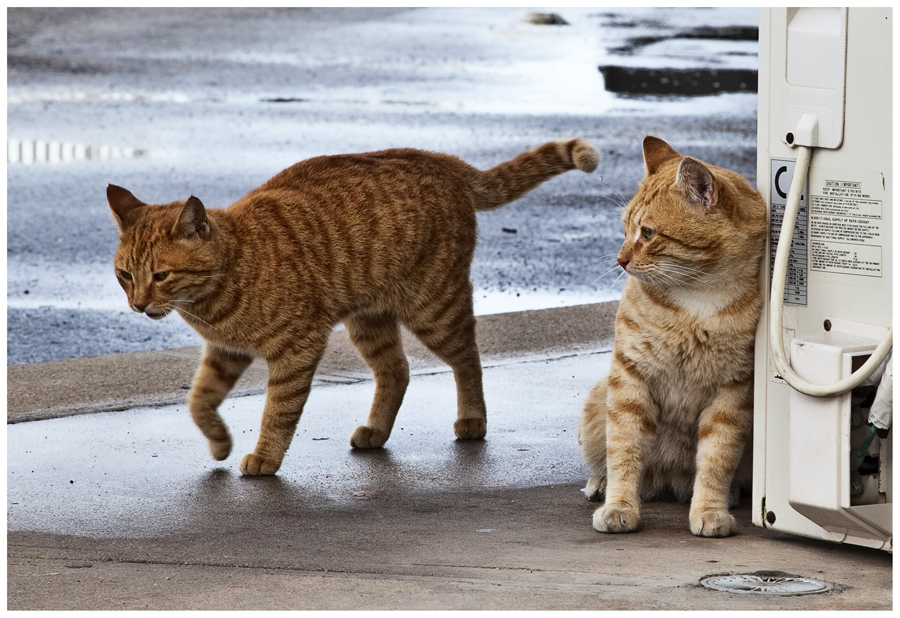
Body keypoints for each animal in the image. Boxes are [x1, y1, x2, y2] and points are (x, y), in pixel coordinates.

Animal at [109, 141, 596, 476]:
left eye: (161, 276)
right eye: (125, 275)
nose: (138, 305)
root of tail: (439, 158)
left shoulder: (297, 348)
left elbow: (278, 410)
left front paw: (265, 456)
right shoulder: (224, 353)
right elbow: (199, 402)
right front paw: (218, 443)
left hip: (434, 309)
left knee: (469, 360)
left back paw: (472, 418)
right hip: (370, 320)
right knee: (397, 371)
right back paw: (376, 431)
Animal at [576, 135, 768, 536]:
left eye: (647, 233)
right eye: (625, 227)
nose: (619, 261)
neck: (696, 298)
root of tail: (668, 481)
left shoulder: (733, 392)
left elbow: (717, 458)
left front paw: (710, 509)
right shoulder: (630, 379)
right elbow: (624, 450)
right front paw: (618, 506)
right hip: (597, 403)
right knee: (606, 459)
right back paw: (599, 484)